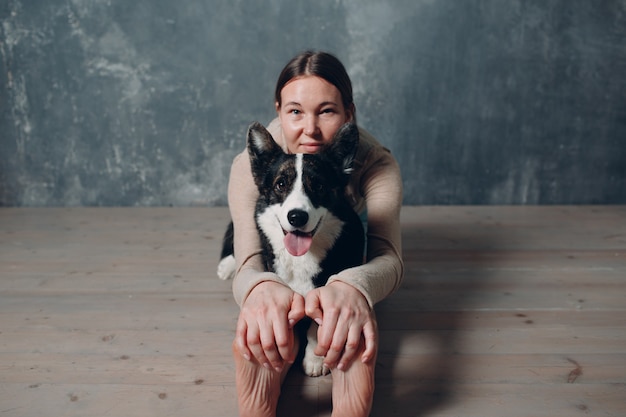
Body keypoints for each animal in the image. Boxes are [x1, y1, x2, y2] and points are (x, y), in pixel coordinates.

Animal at [217, 121, 364, 376]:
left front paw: (315, 359)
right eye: (281, 184)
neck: (301, 258)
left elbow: (318, 322)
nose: (296, 217)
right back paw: (227, 265)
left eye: (319, 185)